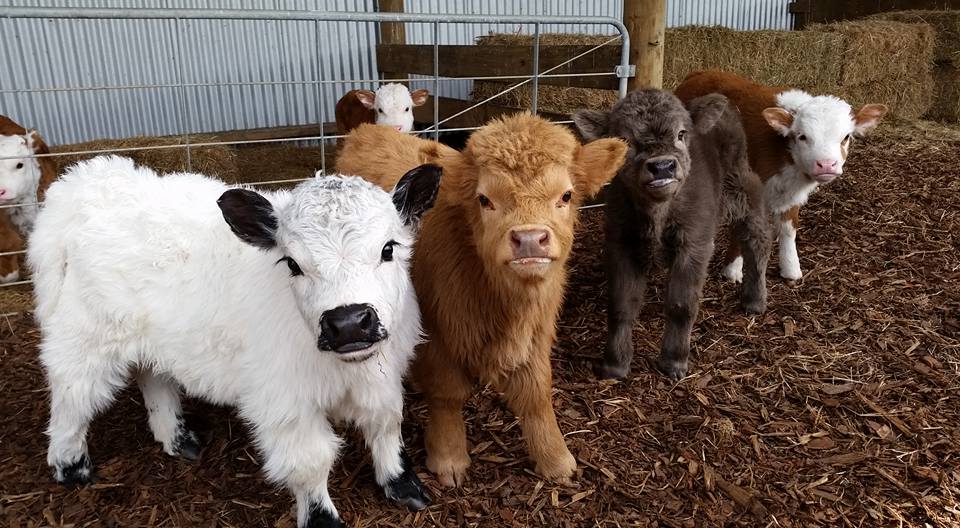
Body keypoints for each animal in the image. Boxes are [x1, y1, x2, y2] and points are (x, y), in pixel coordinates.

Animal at [29, 155, 442, 524]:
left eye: (388, 249)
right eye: (292, 263)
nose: (349, 322)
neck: (349, 370)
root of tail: (90, 180)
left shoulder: (384, 379)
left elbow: (386, 424)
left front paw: (402, 484)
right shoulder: (285, 406)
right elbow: (310, 464)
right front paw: (322, 519)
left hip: (152, 342)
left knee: (153, 377)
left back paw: (177, 438)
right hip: (85, 342)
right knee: (72, 398)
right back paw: (71, 467)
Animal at [334, 113, 628, 484]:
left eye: (566, 195)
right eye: (484, 199)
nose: (529, 238)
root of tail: (366, 131)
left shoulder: (538, 332)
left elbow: (536, 394)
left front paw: (555, 459)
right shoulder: (438, 335)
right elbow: (447, 395)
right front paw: (448, 458)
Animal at [572, 89, 768, 380]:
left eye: (681, 134)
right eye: (626, 139)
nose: (662, 166)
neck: (658, 213)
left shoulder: (694, 245)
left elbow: (681, 306)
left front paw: (674, 361)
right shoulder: (621, 244)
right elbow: (621, 305)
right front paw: (615, 364)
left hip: (743, 188)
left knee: (757, 238)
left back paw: (755, 300)